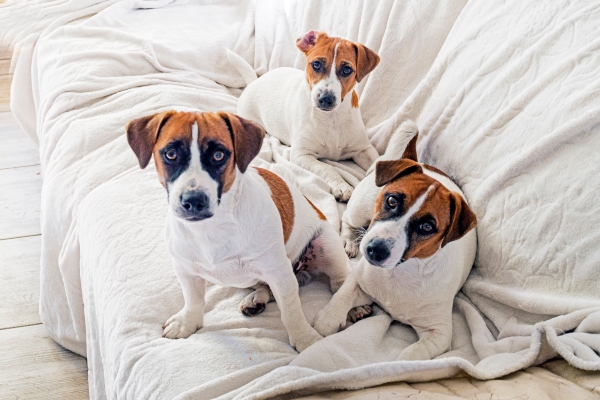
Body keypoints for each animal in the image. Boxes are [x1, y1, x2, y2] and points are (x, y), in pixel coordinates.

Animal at [127, 111, 346, 352]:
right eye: (171, 154)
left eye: (219, 155)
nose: (193, 200)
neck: (212, 228)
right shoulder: (186, 270)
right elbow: (193, 300)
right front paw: (187, 321)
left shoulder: (279, 274)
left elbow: (291, 312)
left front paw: (304, 338)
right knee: (266, 287)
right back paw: (256, 299)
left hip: (326, 247)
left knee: (341, 282)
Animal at [232, 30, 382, 203]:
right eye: (316, 64)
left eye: (347, 70)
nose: (325, 98)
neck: (331, 118)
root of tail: (254, 81)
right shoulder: (301, 155)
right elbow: (327, 167)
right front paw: (341, 186)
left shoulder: (364, 149)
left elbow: (378, 161)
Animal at [312, 121, 476, 360]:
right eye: (391, 200)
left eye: (427, 227)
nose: (375, 250)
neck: (400, 273)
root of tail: (415, 160)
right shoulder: (358, 281)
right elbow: (342, 296)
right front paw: (327, 319)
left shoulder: (438, 334)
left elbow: (409, 357)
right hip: (360, 209)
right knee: (347, 219)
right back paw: (350, 240)